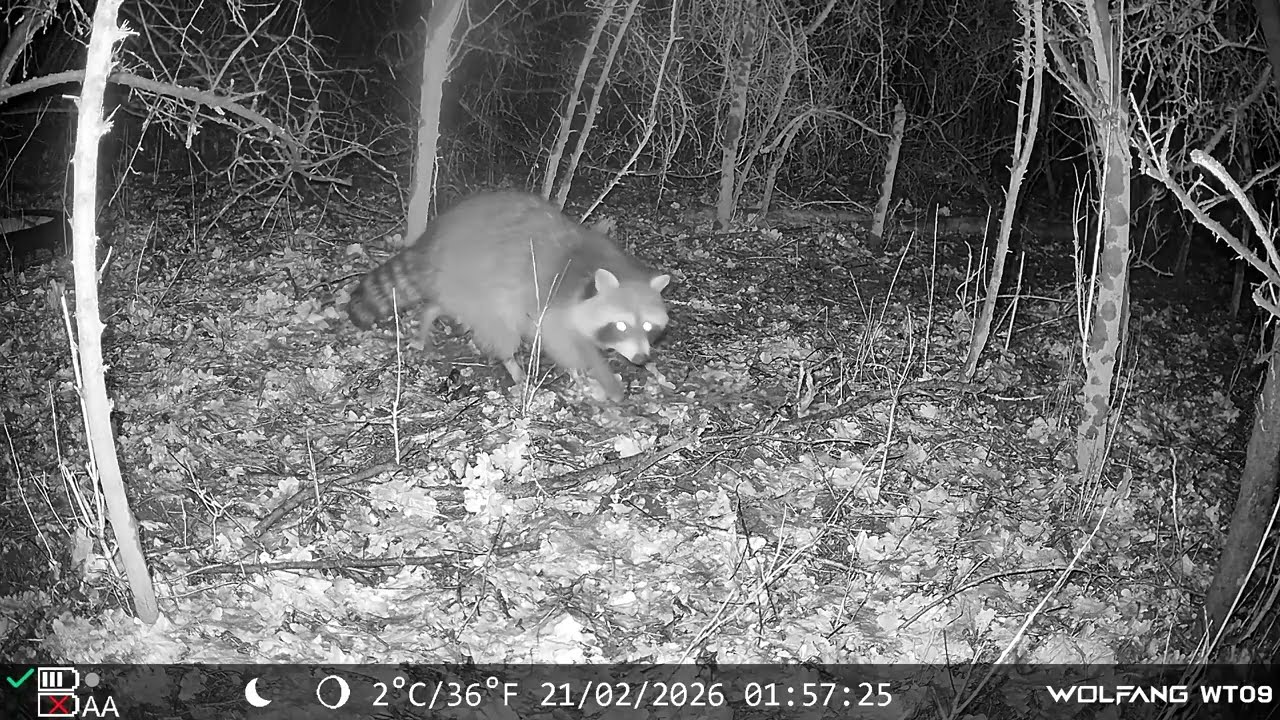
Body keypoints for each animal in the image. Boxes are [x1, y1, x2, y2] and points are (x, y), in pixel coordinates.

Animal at [348, 191, 671, 400]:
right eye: (621, 325)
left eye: (647, 326)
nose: (641, 358)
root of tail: (432, 239)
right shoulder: (553, 305)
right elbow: (565, 343)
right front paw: (592, 372)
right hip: (479, 280)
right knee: (497, 324)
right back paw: (510, 361)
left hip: (460, 281)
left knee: (445, 304)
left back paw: (429, 316)